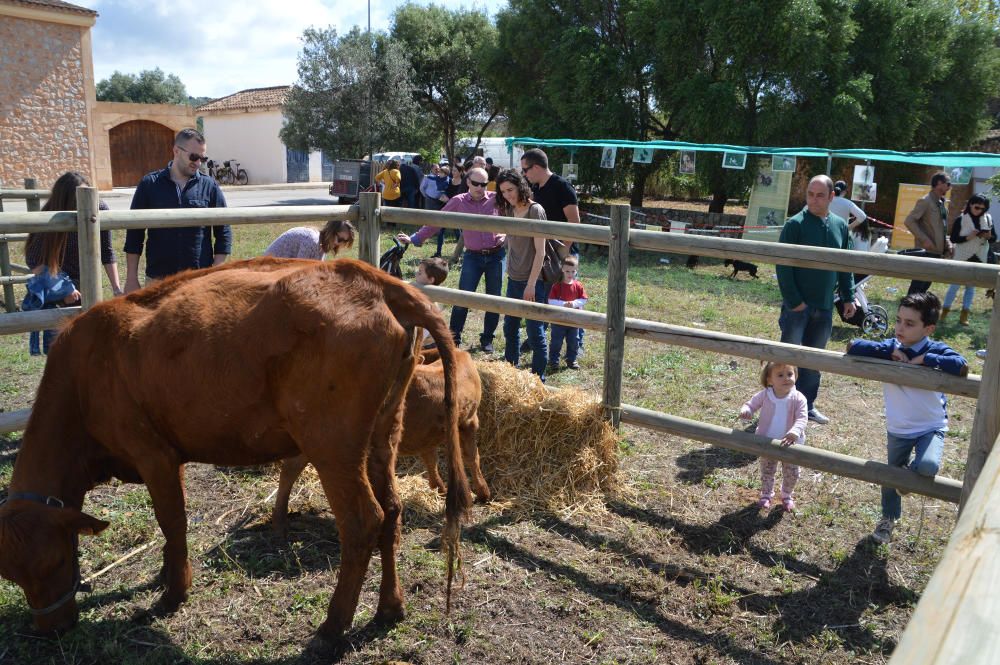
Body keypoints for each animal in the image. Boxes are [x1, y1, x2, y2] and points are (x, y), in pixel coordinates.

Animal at [274, 348, 492, 536]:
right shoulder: (470, 421)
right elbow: (472, 457)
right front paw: (483, 492)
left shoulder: (427, 434)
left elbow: (431, 459)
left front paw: (439, 488)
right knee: (292, 469)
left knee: (291, 469)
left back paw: (280, 521)